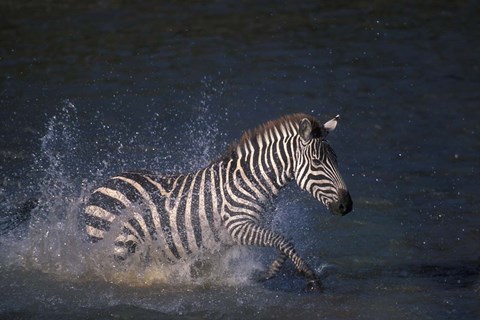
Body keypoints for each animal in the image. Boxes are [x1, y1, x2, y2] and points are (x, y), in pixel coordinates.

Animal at [83, 113, 352, 290]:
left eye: (336, 159)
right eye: (317, 162)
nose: (346, 206)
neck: (250, 182)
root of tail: (101, 185)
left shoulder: (241, 232)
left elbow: (284, 242)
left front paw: (269, 273)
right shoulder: (237, 226)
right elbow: (282, 240)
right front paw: (311, 277)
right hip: (119, 248)